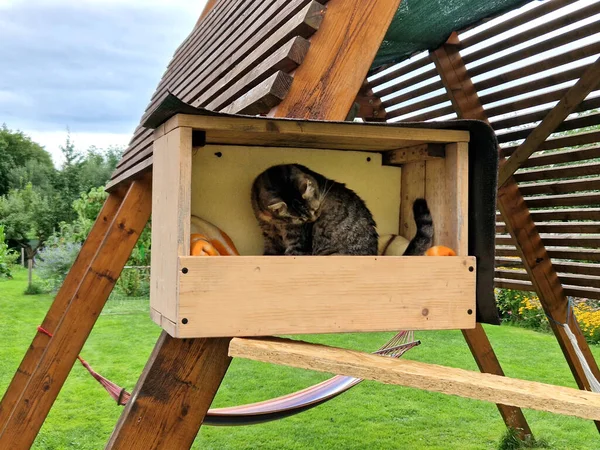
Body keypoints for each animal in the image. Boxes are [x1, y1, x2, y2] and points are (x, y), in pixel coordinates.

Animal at [251, 164, 434, 256]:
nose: (312, 220)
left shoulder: (297, 240)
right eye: (300, 218)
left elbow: (293, 253)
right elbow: (270, 252)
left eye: (315, 210)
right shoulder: (269, 234)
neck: (276, 222)